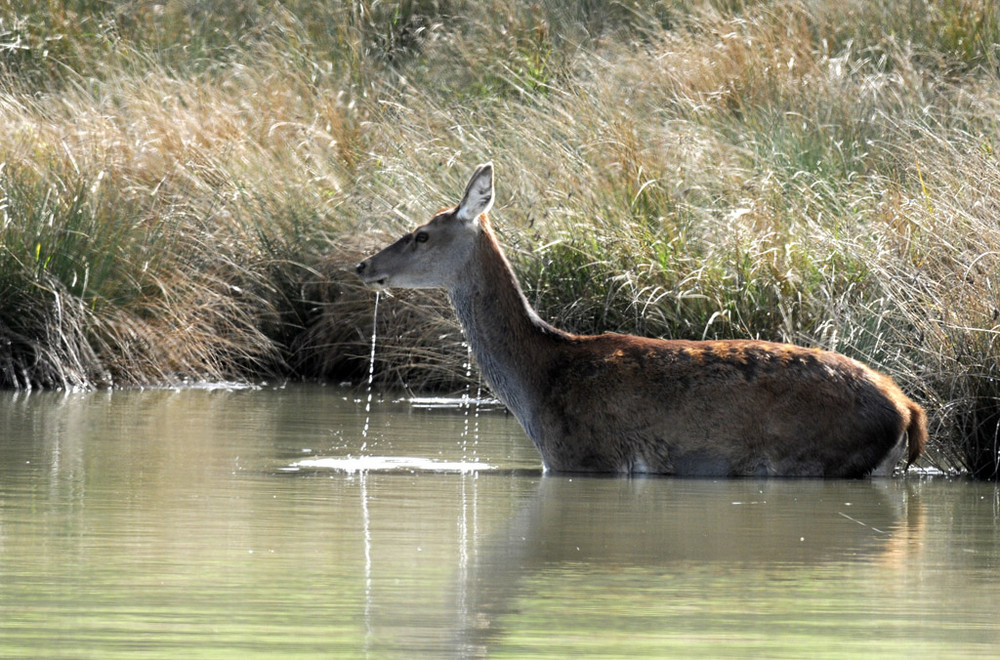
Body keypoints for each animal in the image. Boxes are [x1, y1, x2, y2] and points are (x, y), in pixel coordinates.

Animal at [356, 162, 924, 476]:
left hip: (818, 457)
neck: (538, 386)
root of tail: (907, 408)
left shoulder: (583, 457)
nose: (364, 266)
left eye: (421, 234)